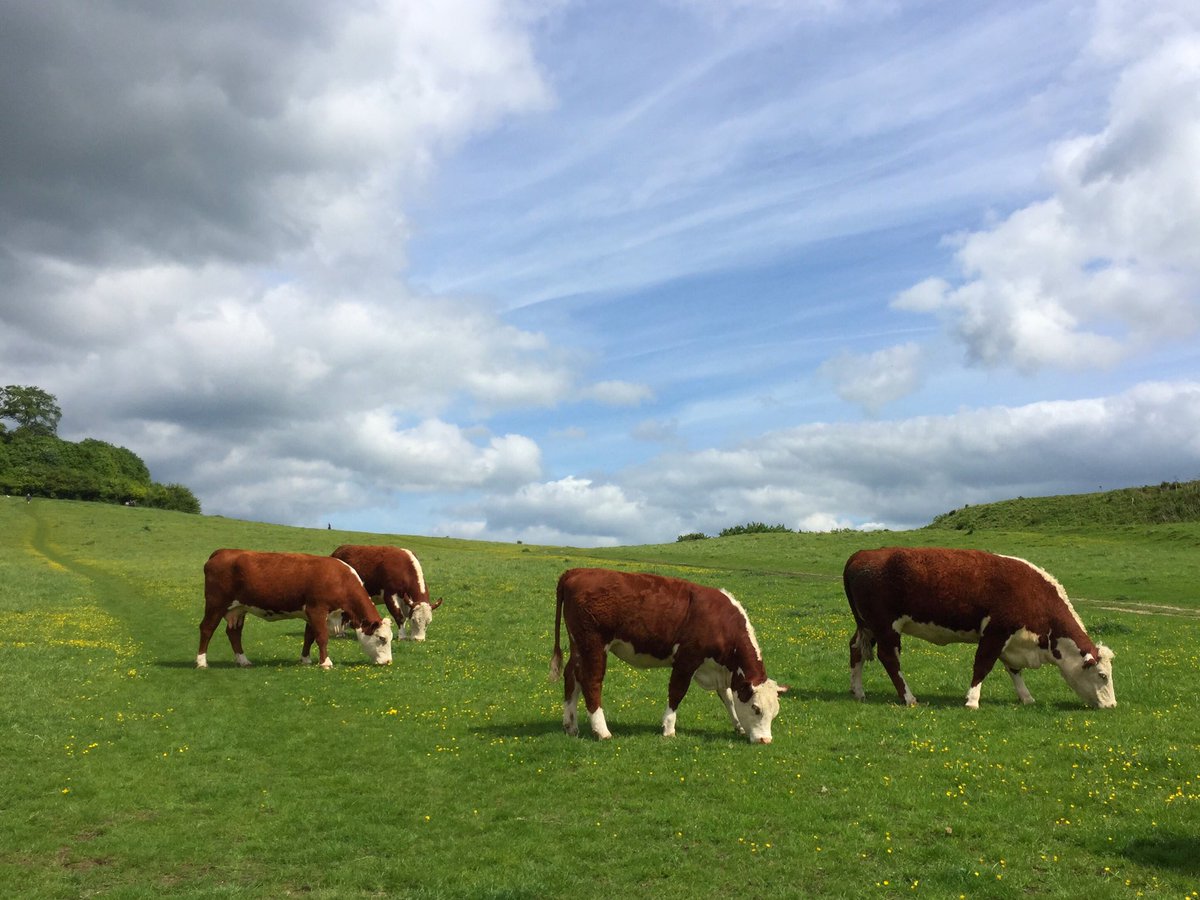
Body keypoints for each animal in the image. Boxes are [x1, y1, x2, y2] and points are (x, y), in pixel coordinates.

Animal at [196, 549, 394, 669]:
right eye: (381, 638)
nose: (388, 662)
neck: (340, 580)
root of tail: (223, 552)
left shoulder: (310, 614)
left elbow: (309, 637)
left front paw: (306, 659)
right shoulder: (317, 610)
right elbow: (322, 637)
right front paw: (325, 662)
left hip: (238, 609)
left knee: (234, 633)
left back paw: (243, 660)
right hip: (215, 604)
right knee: (207, 629)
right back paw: (201, 661)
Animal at [549, 567, 782, 743]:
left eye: (775, 713)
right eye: (756, 708)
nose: (765, 740)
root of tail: (577, 571)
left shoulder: (720, 669)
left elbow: (728, 699)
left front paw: (738, 726)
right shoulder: (687, 660)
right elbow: (677, 692)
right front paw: (669, 727)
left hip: (578, 645)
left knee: (572, 676)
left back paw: (570, 725)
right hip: (594, 645)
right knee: (591, 681)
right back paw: (602, 731)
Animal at [843, 547, 1116, 709]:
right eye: (1102, 675)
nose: (1112, 705)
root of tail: (863, 554)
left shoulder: (1011, 640)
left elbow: (1014, 670)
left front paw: (1026, 697)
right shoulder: (996, 632)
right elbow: (983, 665)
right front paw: (972, 700)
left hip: (868, 626)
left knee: (856, 649)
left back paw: (858, 691)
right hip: (886, 627)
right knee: (889, 658)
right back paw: (909, 698)